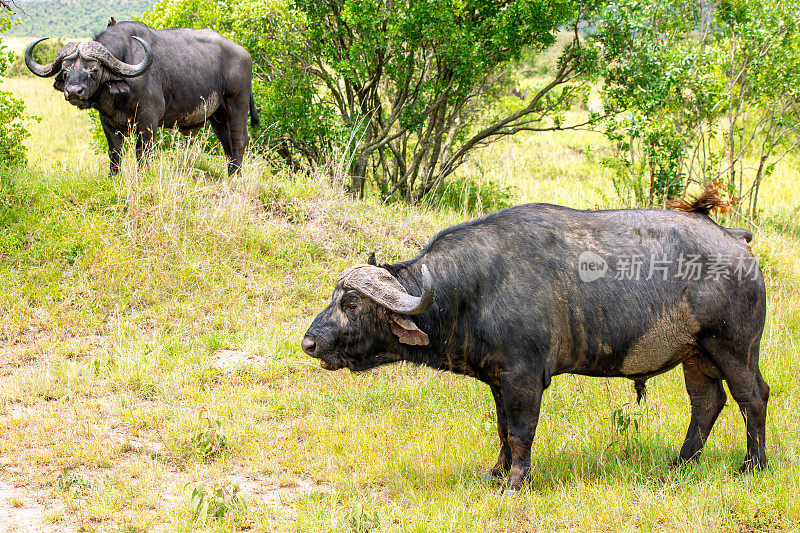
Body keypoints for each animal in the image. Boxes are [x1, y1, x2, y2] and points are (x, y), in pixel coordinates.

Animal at [25, 21, 260, 175]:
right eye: (66, 70)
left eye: (94, 70)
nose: (74, 91)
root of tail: (244, 54)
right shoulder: (108, 124)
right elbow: (115, 153)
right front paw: (113, 177)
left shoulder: (148, 121)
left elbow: (142, 153)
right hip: (216, 115)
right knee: (226, 142)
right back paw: (230, 173)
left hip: (236, 105)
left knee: (239, 139)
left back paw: (237, 175)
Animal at [302, 194, 768, 490]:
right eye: (334, 297)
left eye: (351, 304)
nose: (309, 343)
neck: (476, 288)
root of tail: (734, 239)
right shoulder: (499, 381)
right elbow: (503, 429)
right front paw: (496, 474)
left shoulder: (524, 379)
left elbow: (521, 431)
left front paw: (515, 483)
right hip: (697, 356)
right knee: (707, 402)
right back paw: (680, 463)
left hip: (734, 350)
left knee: (753, 397)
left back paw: (752, 467)